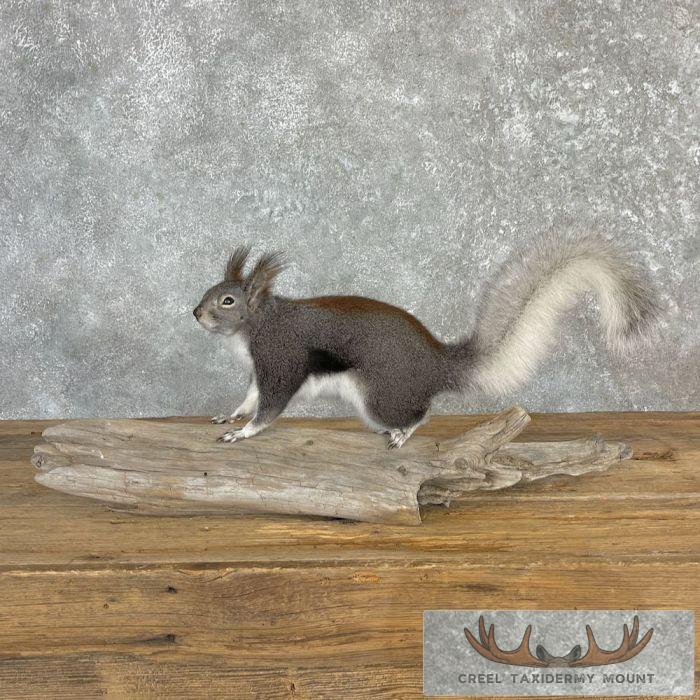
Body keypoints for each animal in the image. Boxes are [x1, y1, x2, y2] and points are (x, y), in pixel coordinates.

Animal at [194, 233, 660, 448]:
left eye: (227, 300)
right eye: (212, 290)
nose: (195, 313)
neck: (257, 326)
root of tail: (437, 365)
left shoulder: (281, 358)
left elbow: (270, 407)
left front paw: (244, 433)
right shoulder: (259, 370)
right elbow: (250, 398)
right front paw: (230, 416)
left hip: (381, 397)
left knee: (421, 413)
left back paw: (403, 433)